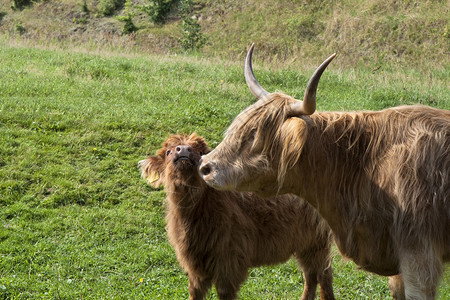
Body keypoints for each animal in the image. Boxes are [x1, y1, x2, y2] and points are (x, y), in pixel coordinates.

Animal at [140, 134, 334, 300]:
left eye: (201, 152)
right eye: (168, 151)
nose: (184, 151)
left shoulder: (229, 262)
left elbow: (225, 293)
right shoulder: (195, 265)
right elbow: (195, 292)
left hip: (318, 241)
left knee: (323, 274)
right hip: (305, 243)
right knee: (311, 275)